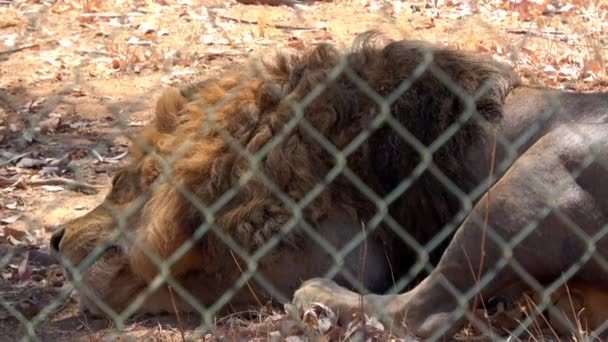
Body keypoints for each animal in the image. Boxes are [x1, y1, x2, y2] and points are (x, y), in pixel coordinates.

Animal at [52, 33, 608, 338]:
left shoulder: (340, 245)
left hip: (541, 168)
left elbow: (200, 281)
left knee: (423, 313)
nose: (53, 239)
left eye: (120, 181)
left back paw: (320, 299)